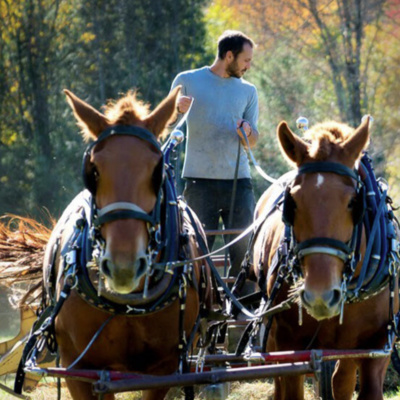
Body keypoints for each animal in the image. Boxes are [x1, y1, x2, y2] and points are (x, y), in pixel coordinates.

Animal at [32, 89, 216, 400]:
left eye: (156, 171)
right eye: (94, 171)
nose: (123, 266)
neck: (127, 304)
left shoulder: (163, 369)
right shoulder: (79, 369)